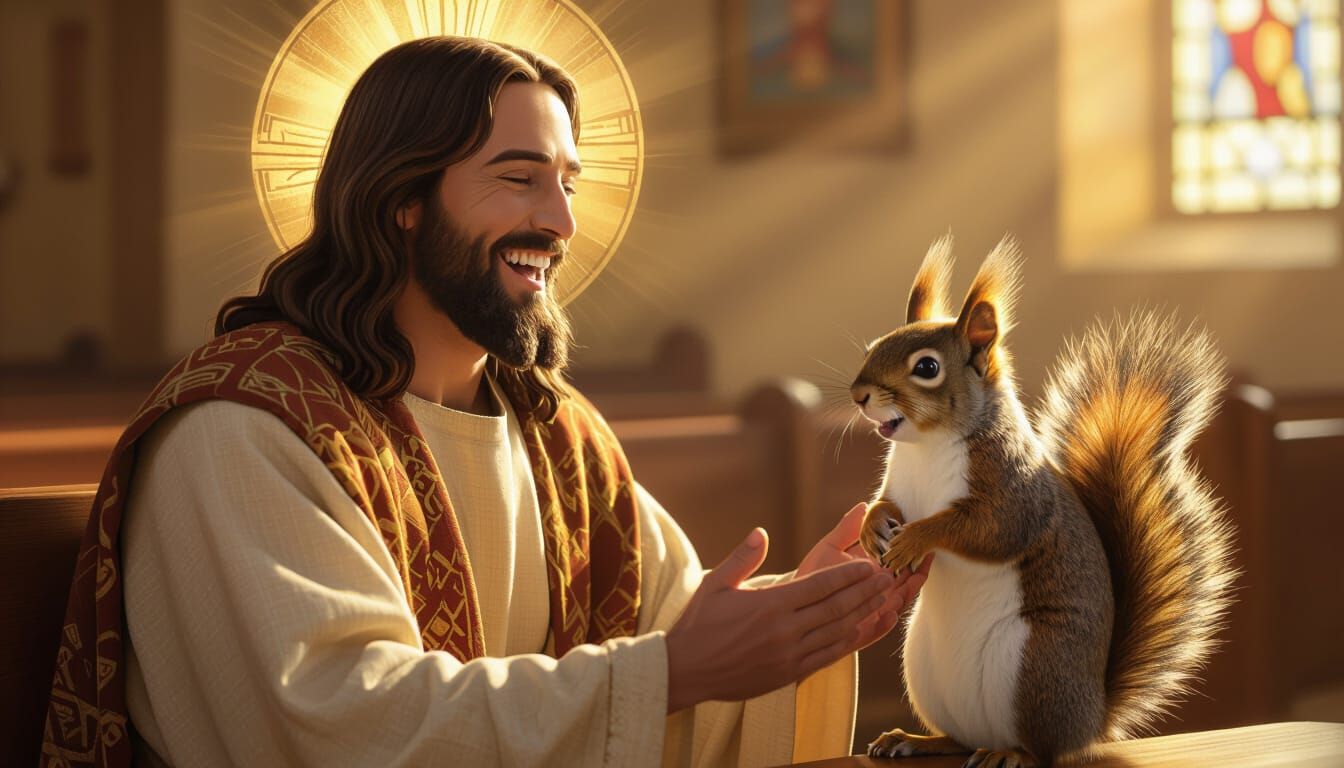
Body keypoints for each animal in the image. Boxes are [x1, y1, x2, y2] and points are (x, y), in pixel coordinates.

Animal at [849, 235, 1236, 768]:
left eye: (926, 367)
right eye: (873, 346)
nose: (858, 394)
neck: (926, 446)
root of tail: (1093, 719)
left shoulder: (1013, 490)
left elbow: (986, 529)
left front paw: (915, 538)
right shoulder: (899, 486)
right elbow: (882, 505)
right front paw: (872, 529)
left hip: (1035, 666)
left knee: (1044, 748)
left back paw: (1011, 754)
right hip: (924, 667)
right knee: (957, 738)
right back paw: (915, 740)